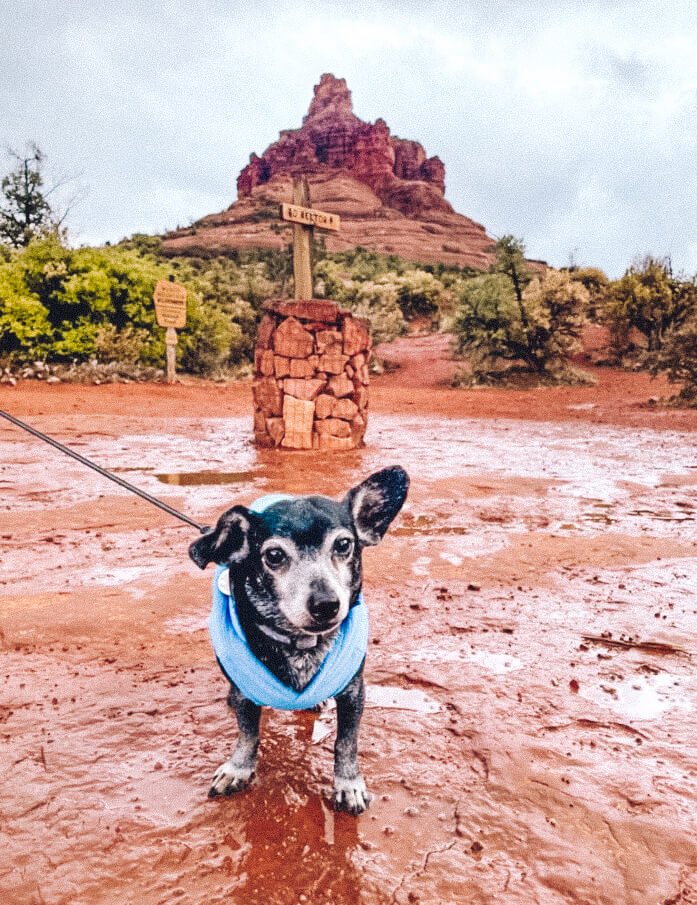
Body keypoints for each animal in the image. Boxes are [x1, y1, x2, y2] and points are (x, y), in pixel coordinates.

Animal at [190, 466, 408, 812]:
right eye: (274, 555)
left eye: (343, 544)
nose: (326, 604)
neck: (300, 643)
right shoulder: (244, 695)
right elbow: (247, 734)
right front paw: (239, 768)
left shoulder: (354, 693)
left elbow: (346, 743)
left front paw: (349, 783)